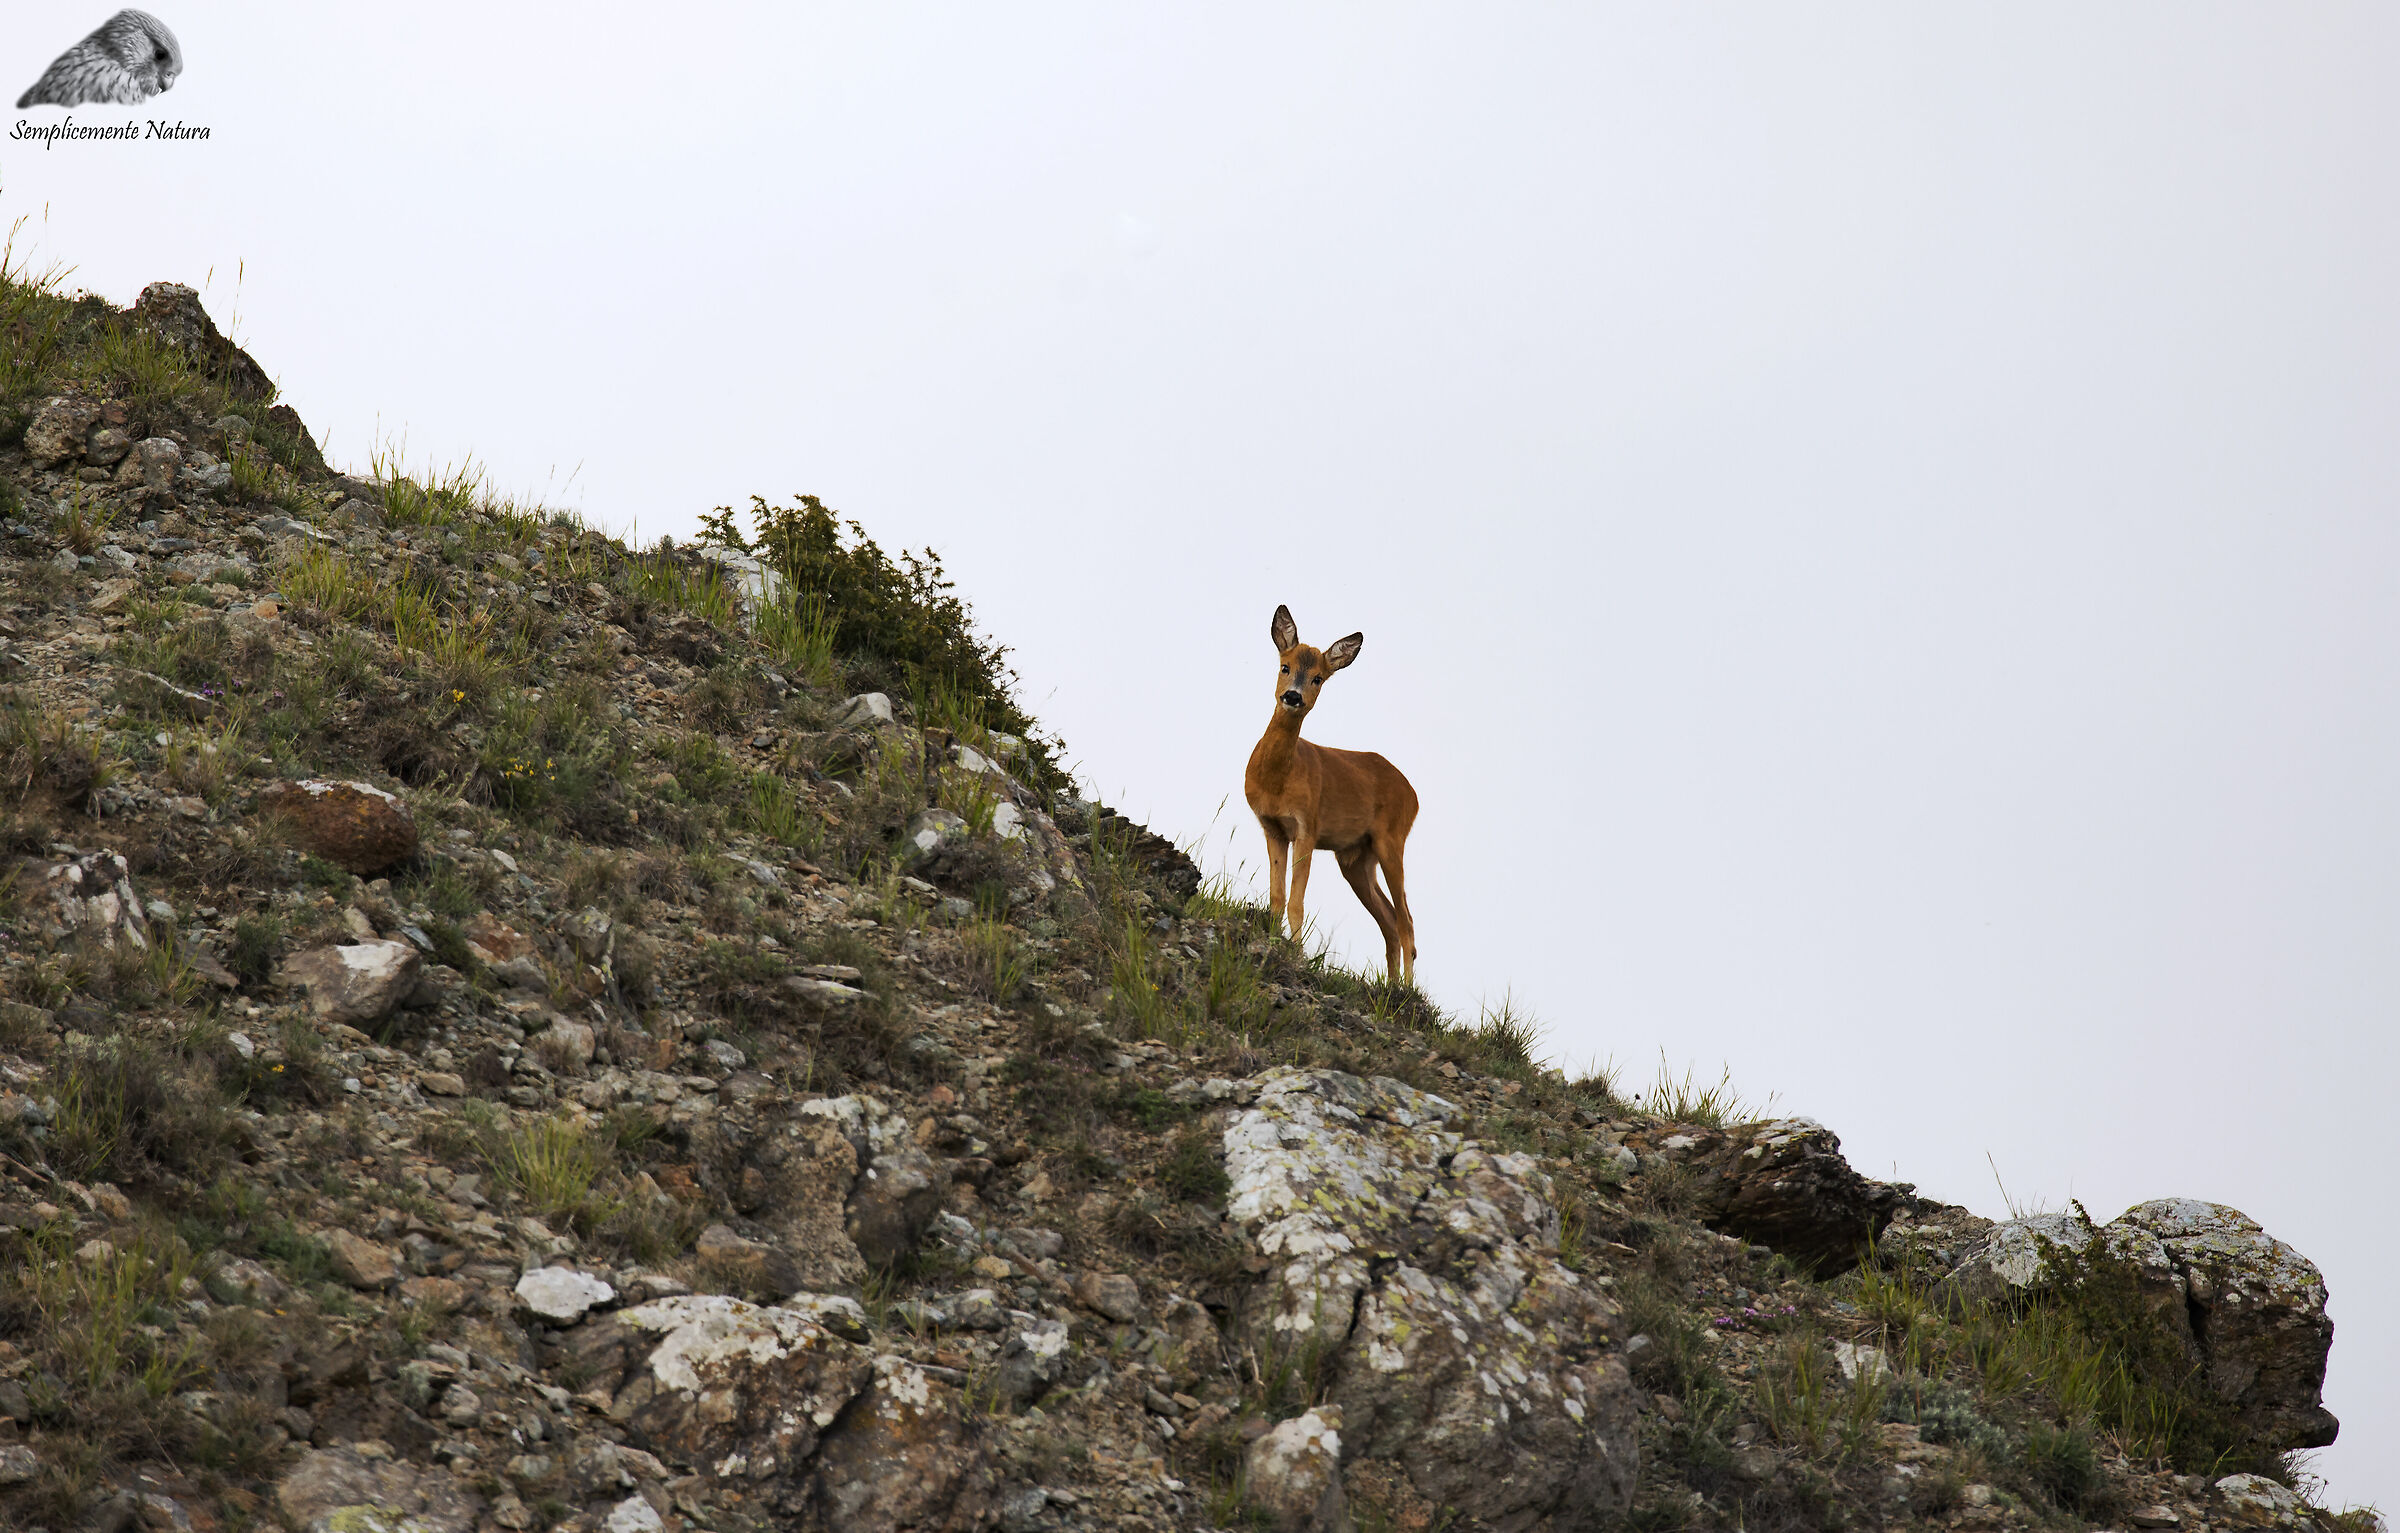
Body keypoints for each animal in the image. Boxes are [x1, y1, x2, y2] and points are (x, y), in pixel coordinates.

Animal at [1243, 604, 1420, 982]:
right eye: (1285, 666)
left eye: (1318, 678)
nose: (1292, 696)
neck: (1278, 781)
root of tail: (1414, 794)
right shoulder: (1272, 827)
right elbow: (1277, 896)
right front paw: (1274, 942)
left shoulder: (1307, 826)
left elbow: (1296, 901)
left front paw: (1295, 953)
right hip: (1355, 858)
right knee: (1389, 919)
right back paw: (1392, 986)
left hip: (1392, 839)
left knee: (1406, 919)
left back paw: (1407, 990)